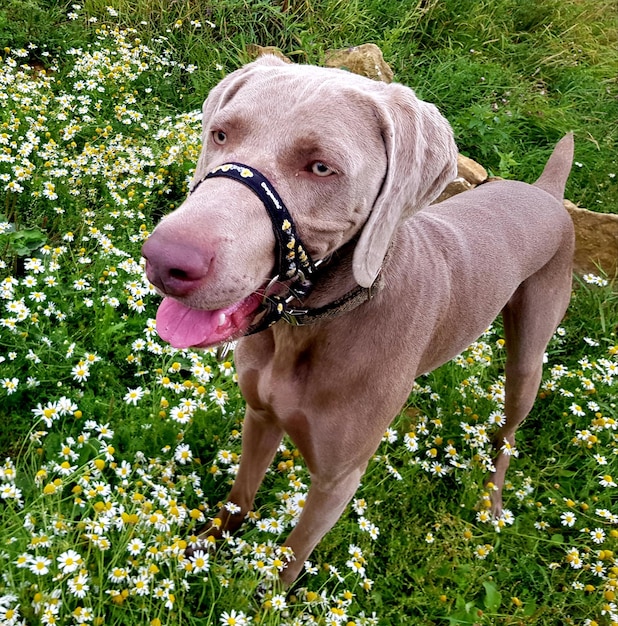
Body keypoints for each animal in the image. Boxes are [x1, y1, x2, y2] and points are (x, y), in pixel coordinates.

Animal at [141, 54, 572, 584]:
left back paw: (492, 503)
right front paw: (202, 549)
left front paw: (269, 591)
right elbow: (239, 497)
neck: (306, 329)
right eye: (221, 134)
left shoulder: (337, 480)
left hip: (528, 356)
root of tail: (548, 193)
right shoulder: (259, 417)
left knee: (509, 431)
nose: (164, 262)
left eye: (321, 167)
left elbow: (291, 558)